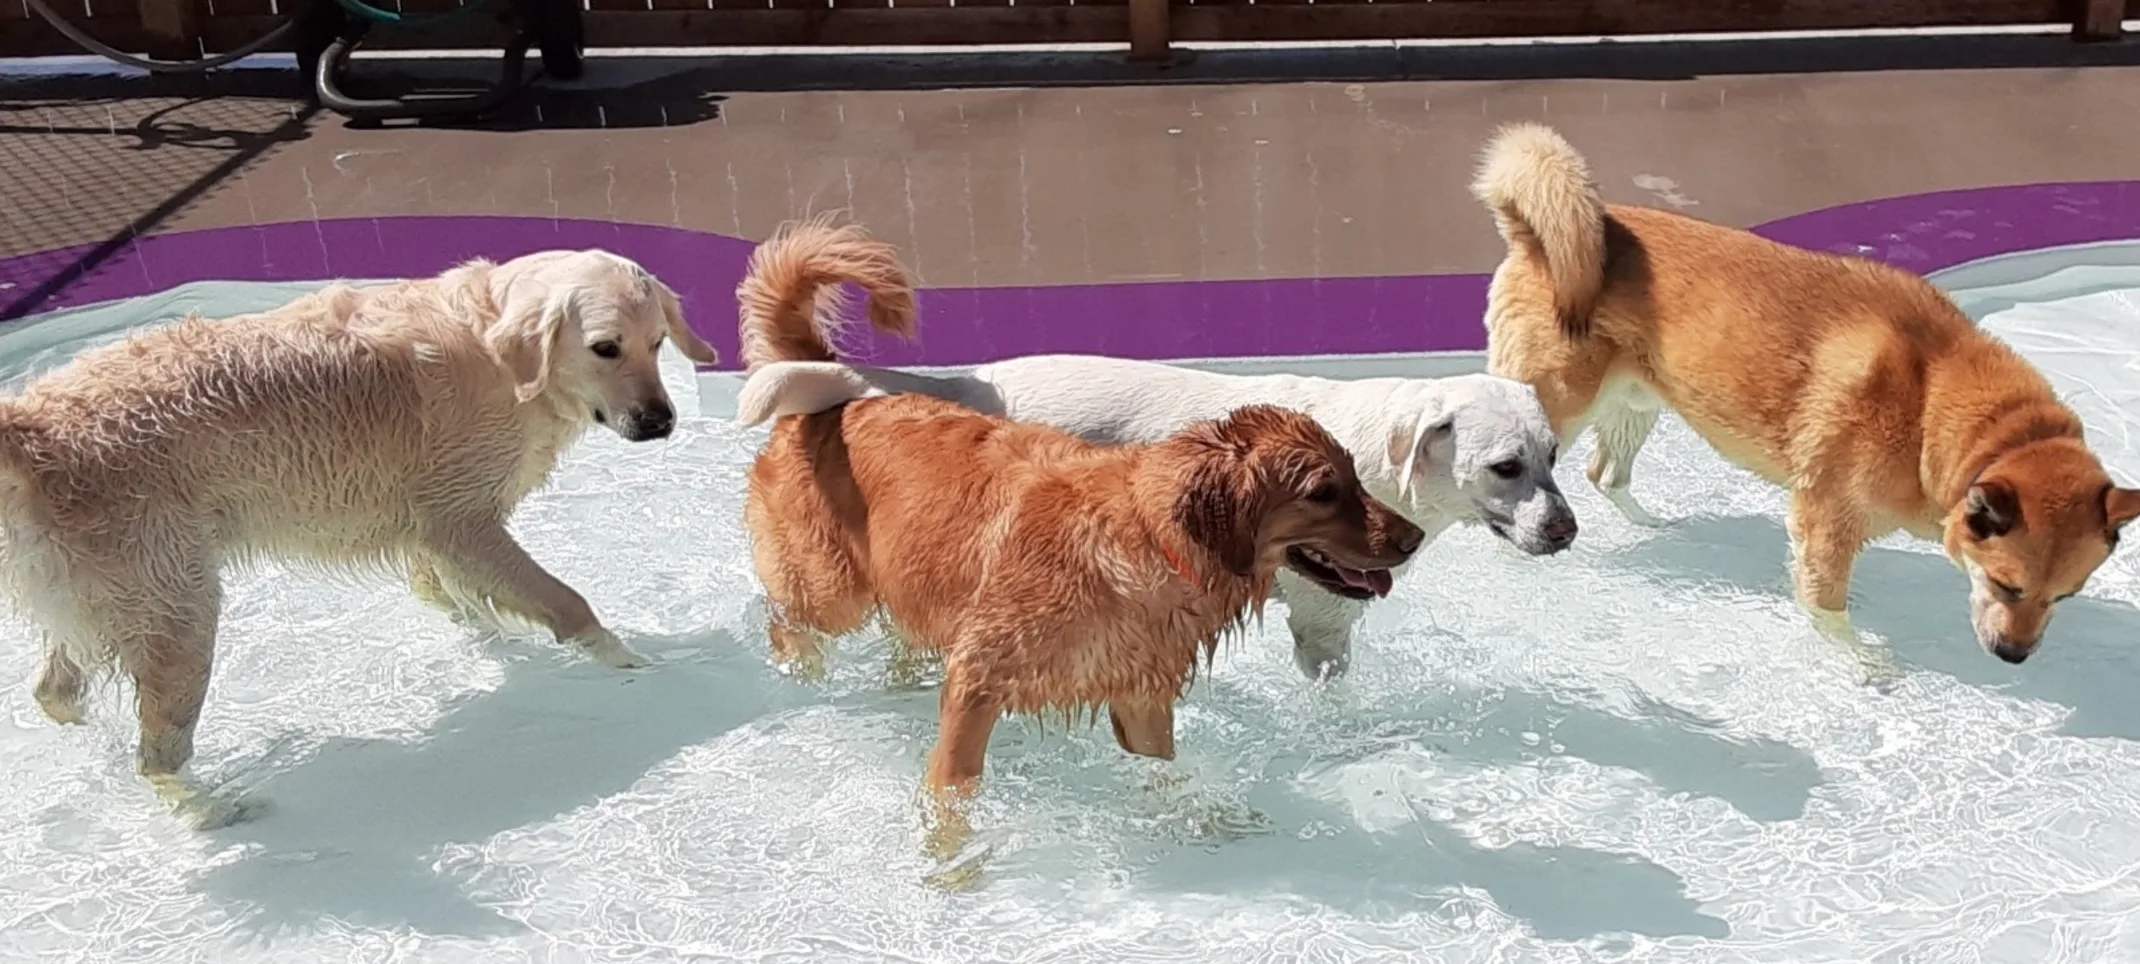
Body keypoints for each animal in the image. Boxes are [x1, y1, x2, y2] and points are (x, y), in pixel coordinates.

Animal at [0, 246, 723, 826]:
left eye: (659, 342)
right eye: (605, 347)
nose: (660, 421)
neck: (498, 353)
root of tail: (31, 428)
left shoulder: (437, 531)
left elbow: (452, 596)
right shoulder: (460, 523)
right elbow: (569, 604)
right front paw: (637, 663)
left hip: (112, 600)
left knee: (55, 690)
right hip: (179, 613)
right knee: (156, 756)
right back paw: (214, 809)